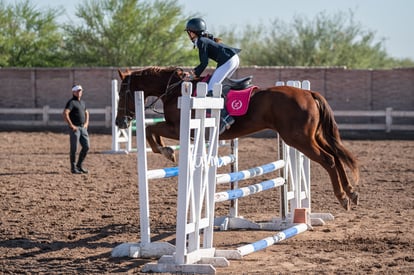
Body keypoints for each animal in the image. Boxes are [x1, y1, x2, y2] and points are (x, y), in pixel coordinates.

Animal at [116, 66, 360, 211]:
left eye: (122, 93)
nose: (120, 122)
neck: (174, 90)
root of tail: (308, 93)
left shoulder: (177, 128)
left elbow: (150, 130)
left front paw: (166, 152)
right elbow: (151, 130)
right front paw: (166, 151)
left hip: (299, 139)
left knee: (329, 159)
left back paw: (343, 197)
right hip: (312, 136)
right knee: (336, 155)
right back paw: (351, 192)